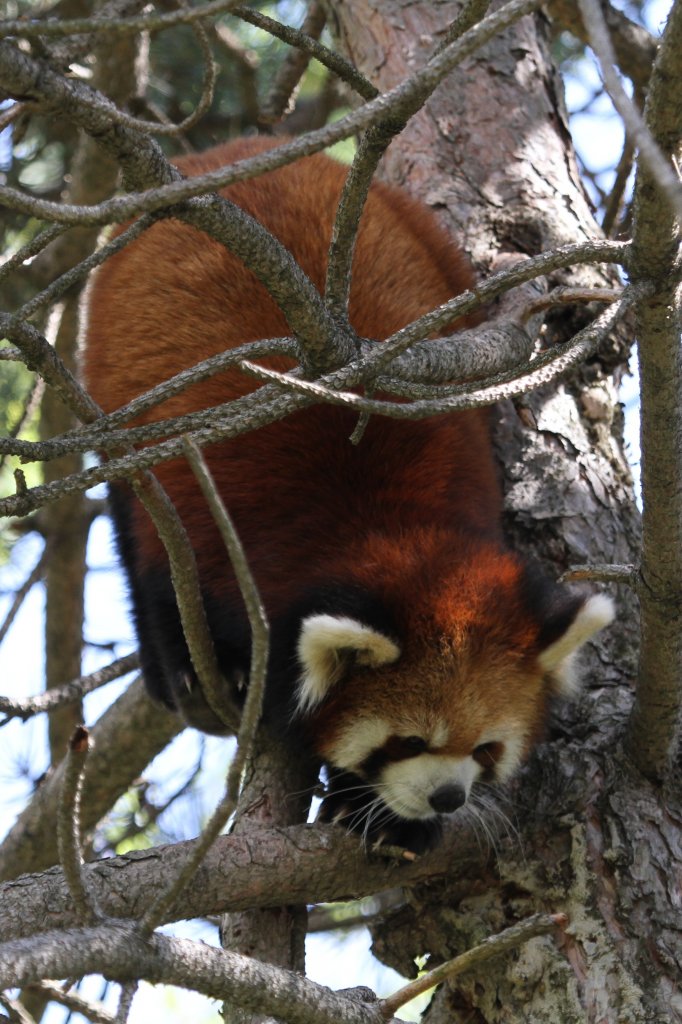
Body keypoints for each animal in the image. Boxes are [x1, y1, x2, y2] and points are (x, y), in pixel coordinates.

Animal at [82, 138, 614, 856]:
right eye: (407, 741)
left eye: (486, 750)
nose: (447, 798)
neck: (391, 527)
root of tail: (229, 151)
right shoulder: (220, 533)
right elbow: (170, 573)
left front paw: (383, 817)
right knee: (131, 514)